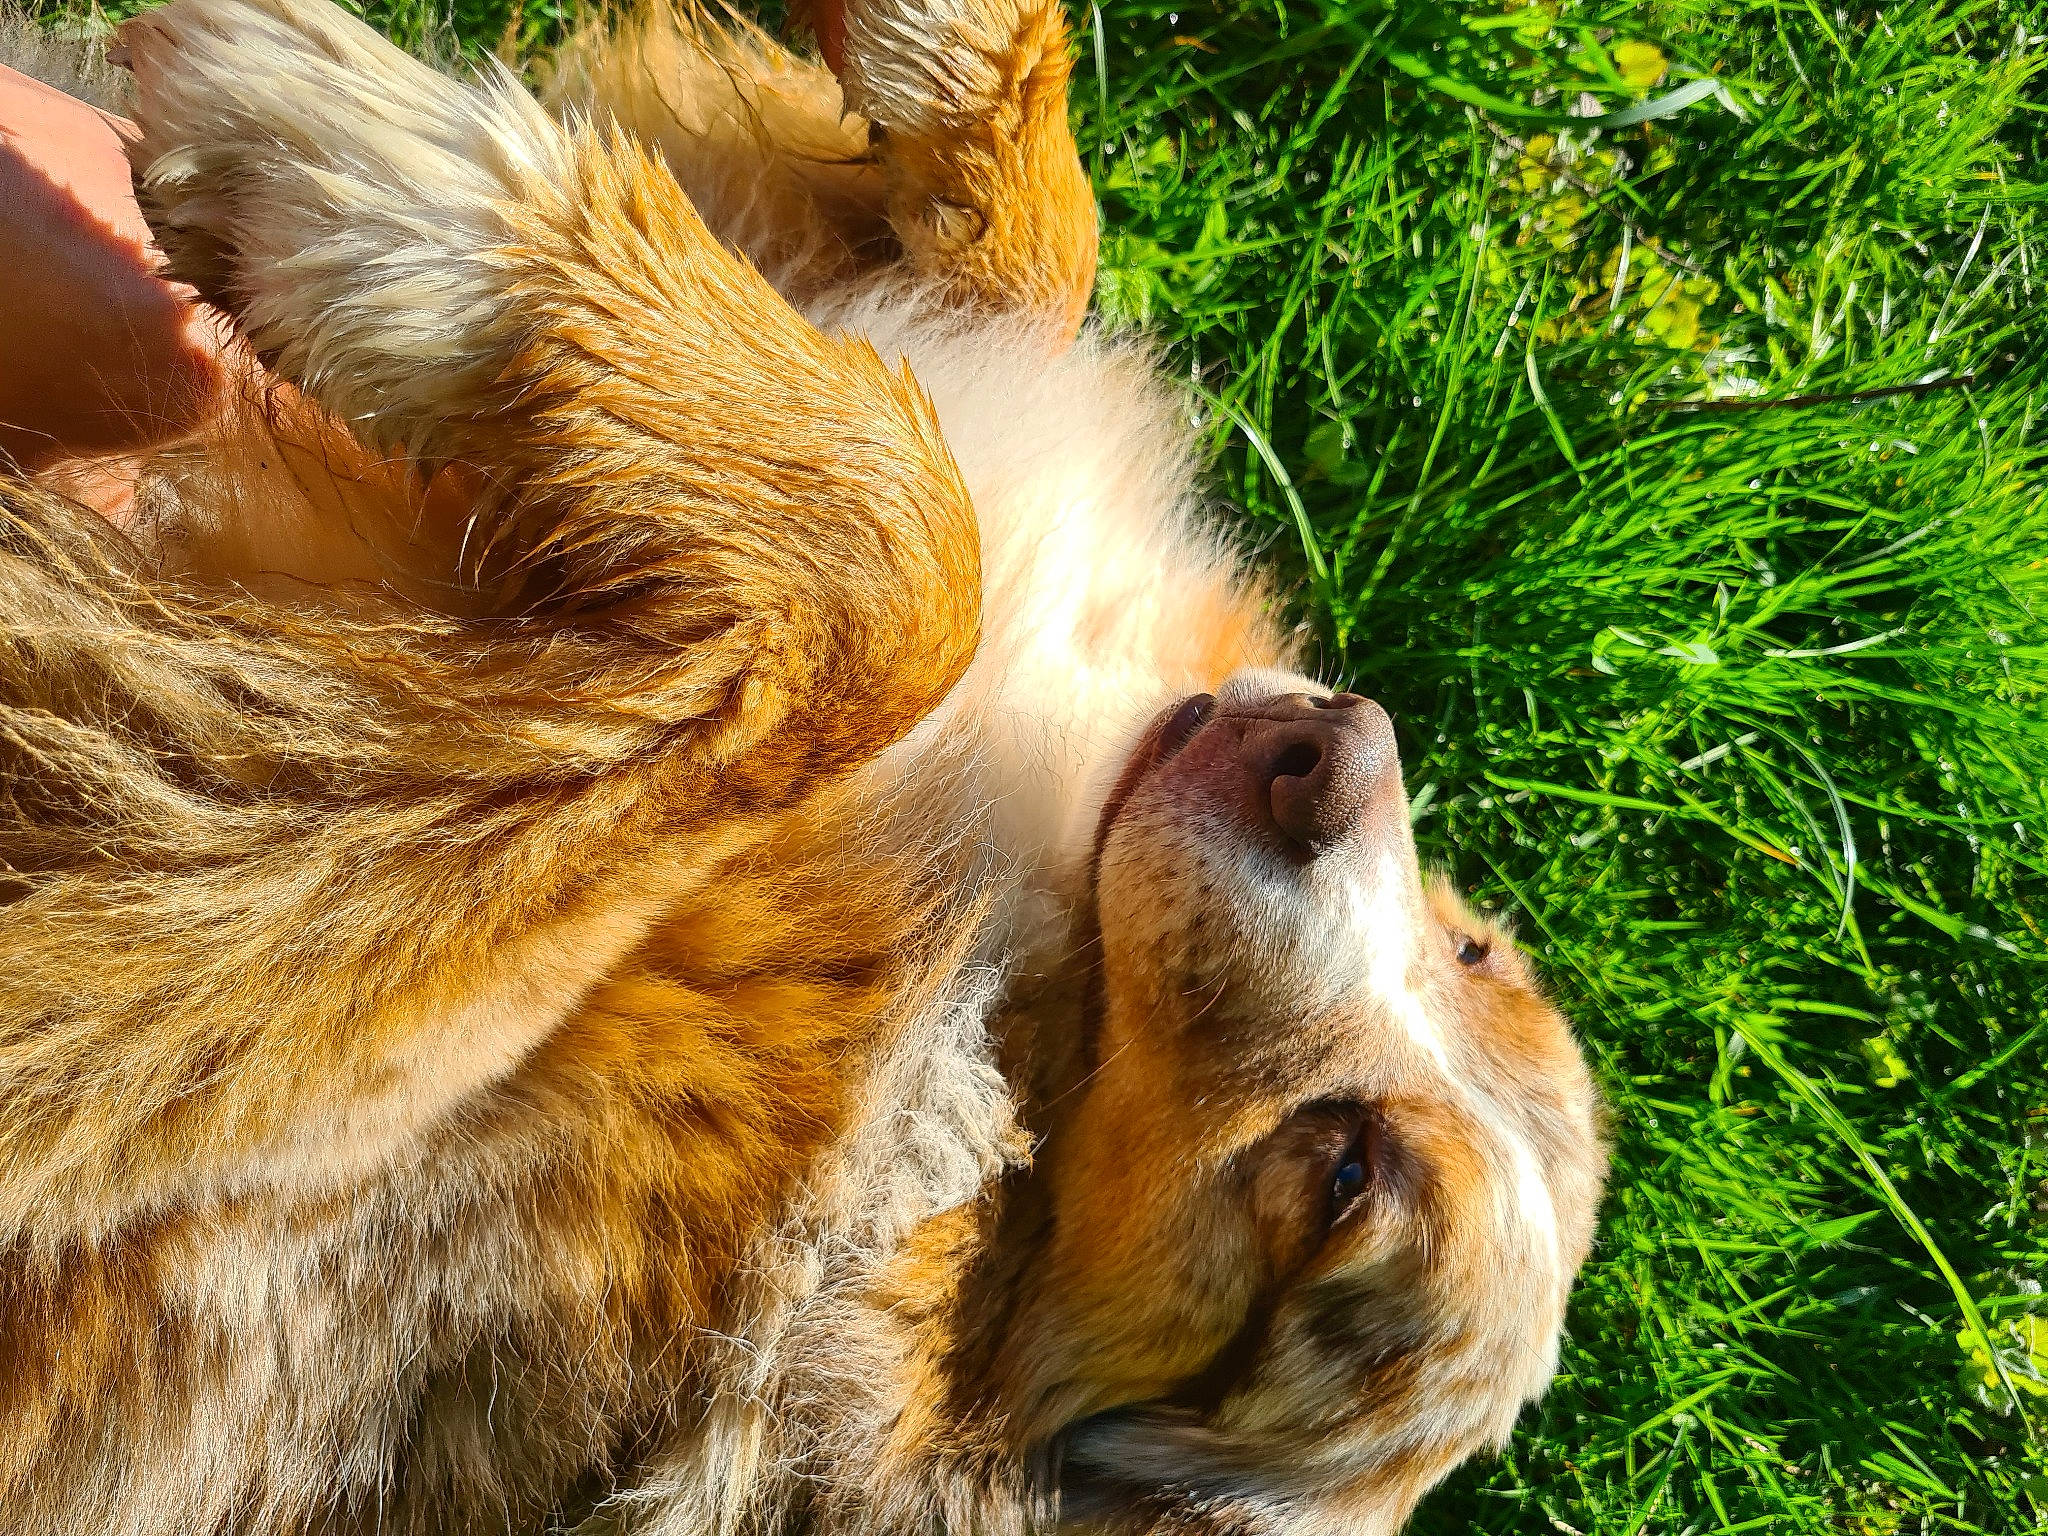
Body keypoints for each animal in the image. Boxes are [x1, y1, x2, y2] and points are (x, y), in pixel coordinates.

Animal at [0, 0, 1607, 1531]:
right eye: (1474, 952)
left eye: (1342, 1183)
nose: (1329, 748)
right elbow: (1036, 259)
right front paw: (944, 61)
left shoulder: (291, 1138)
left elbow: (903, 590)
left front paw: (390, 201)